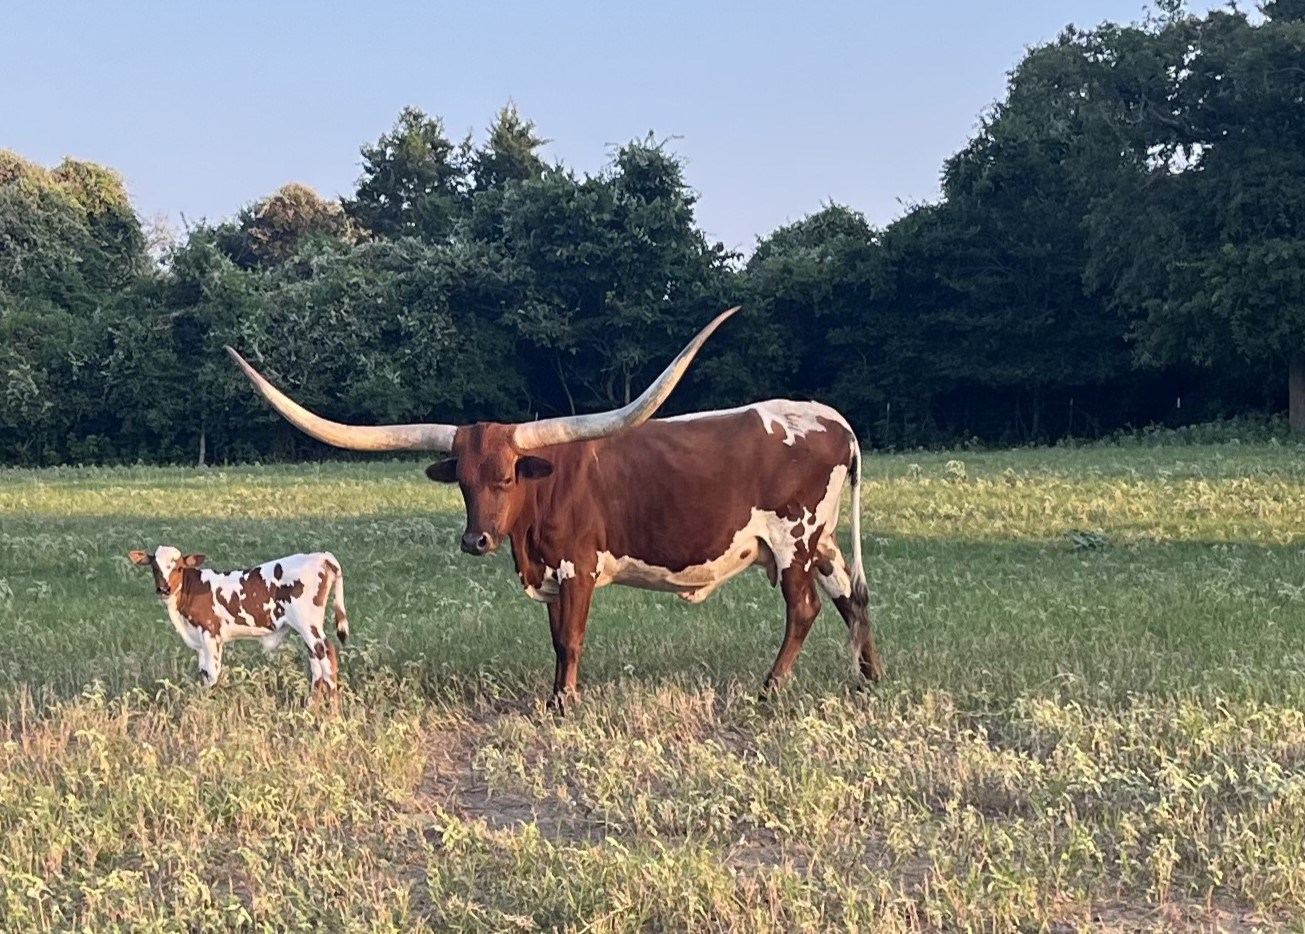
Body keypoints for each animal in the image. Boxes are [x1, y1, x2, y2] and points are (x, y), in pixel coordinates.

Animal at [128, 546, 349, 709]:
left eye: (178, 568)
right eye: (154, 567)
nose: (163, 589)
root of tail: (321, 556)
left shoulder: (211, 633)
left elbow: (213, 674)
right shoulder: (199, 642)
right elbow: (204, 674)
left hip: (308, 624)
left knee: (327, 655)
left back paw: (333, 716)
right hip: (307, 628)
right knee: (316, 665)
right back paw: (311, 710)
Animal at [225, 307, 883, 710]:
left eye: (507, 475)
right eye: (462, 482)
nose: (475, 541)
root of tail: (836, 422)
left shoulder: (577, 566)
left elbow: (570, 637)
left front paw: (565, 702)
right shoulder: (546, 572)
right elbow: (553, 639)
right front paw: (552, 697)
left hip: (794, 540)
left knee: (803, 610)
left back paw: (770, 689)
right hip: (822, 542)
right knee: (853, 598)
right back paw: (868, 680)